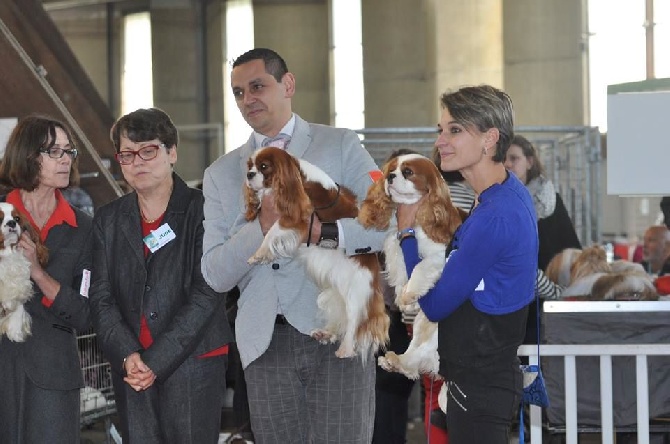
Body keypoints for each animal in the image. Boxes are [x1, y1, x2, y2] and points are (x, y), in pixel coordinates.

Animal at [244, 147, 388, 360]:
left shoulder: (298, 217)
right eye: (250, 166)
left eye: (263, 166)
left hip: (356, 289)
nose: (249, 174)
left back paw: (346, 349)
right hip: (331, 292)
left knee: (354, 320)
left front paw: (259, 253)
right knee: (340, 317)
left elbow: (273, 231)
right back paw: (327, 333)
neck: (296, 178)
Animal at [360, 153, 464, 378]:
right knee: (417, 348)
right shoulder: (396, 247)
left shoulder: (439, 256)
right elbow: (402, 273)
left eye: (408, 172)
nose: (390, 176)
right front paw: (405, 298)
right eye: (391, 169)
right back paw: (397, 362)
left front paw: (409, 294)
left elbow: (420, 267)